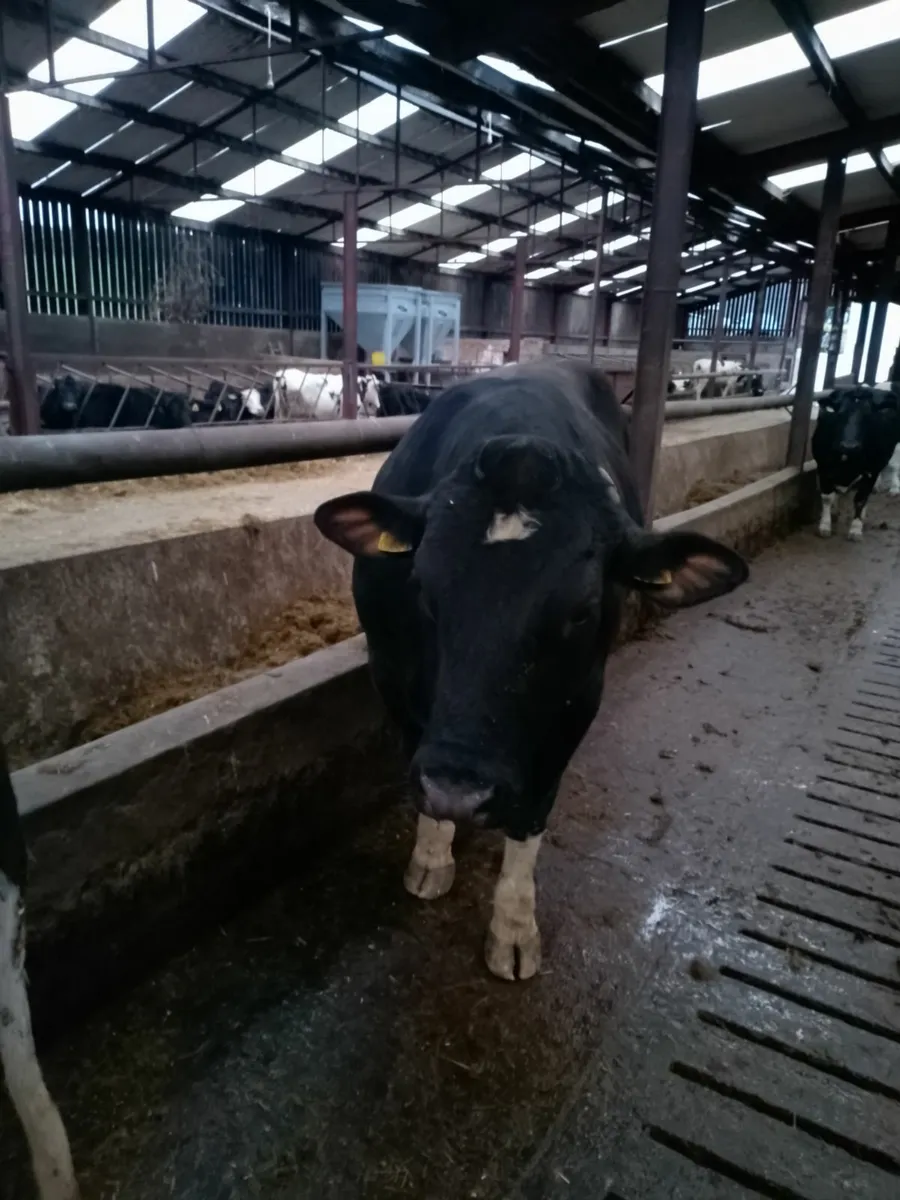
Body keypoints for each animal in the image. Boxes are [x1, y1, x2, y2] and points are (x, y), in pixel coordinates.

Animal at [314, 359, 748, 980]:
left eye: (582, 610)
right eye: (421, 585)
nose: (460, 789)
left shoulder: (577, 701)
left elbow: (533, 815)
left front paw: (514, 928)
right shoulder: (391, 673)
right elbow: (417, 769)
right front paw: (431, 858)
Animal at [813, 385, 900, 540]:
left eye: (868, 416)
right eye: (840, 414)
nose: (849, 446)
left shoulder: (871, 471)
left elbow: (861, 499)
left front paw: (855, 528)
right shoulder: (823, 467)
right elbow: (828, 497)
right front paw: (825, 526)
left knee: (893, 467)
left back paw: (893, 489)